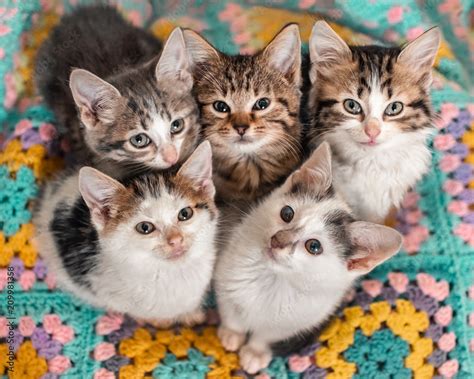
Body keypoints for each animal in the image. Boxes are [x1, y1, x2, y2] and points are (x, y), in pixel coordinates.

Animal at [34, 142, 218, 324]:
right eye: (145, 228)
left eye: (185, 214)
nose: (176, 240)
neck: (170, 272)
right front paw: (160, 321)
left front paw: (192, 314)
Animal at [216, 142, 404, 374]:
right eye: (287, 214)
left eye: (313, 246)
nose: (278, 240)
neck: (274, 279)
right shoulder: (224, 276)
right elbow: (231, 310)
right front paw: (232, 333)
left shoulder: (299, 320)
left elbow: (267, 335)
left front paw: (256, 352)